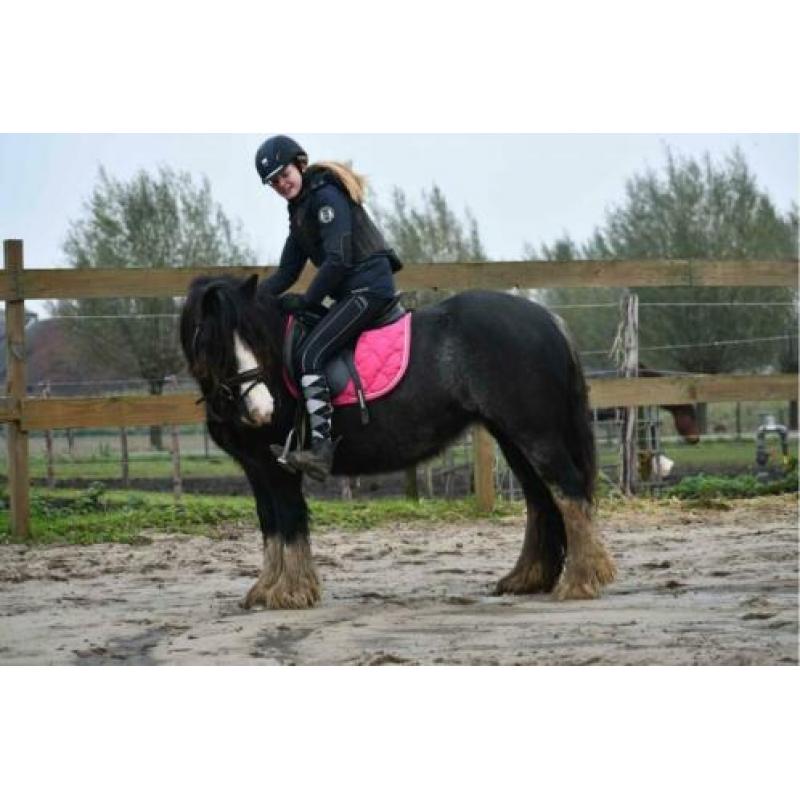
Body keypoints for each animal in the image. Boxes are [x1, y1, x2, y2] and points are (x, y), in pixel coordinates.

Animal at [180, 274, 616, 610]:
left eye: (254, 336)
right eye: (213, 342)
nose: (262, 410)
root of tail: (547, 318)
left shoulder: (278, 467)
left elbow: (288, 522)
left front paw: (291, 592)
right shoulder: (257, 468)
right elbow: (269, 523)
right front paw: (265, 589)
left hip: (535, 432)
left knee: (568, 491)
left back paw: (580, 581)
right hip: (510, 435)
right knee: (540, 499)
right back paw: (527, 578)